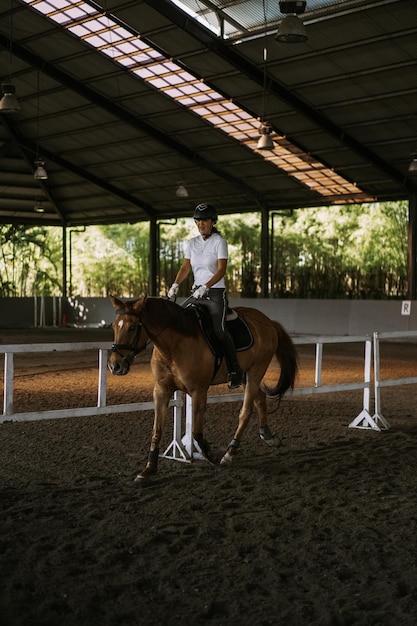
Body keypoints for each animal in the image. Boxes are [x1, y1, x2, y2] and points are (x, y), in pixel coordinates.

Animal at [106, 294, 296, 482]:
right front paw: (148, 470)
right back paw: (268, 436)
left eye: (132, 328)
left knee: (246, 412)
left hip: (256, 371)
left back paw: (229, 454)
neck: (174, 345)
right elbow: (156, 430)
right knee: (260, 398)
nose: (115, 366)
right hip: (244, 376)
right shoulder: (161, 390)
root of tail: (268, 321)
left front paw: (211, 456)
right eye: (115, 326)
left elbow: (196, 432)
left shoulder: (198, 390)